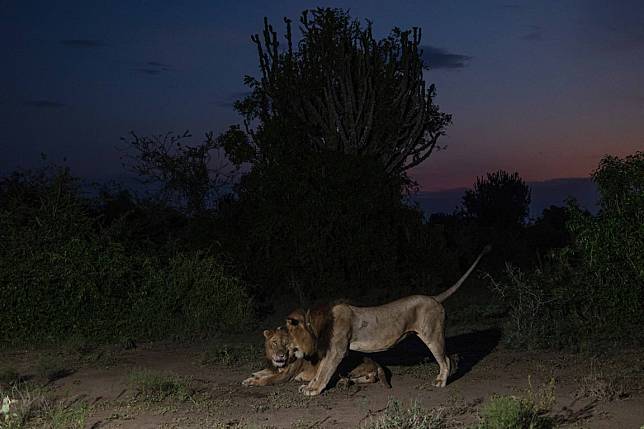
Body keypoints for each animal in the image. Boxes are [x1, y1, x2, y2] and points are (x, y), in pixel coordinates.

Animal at [244, 324, 390, 388]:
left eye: (286, 344)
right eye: (274, 342)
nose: (280, 356)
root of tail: (375, 361)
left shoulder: (285, 375)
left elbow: (267, 379)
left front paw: (252, 381)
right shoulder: (277, 369)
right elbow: (264, 372)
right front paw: (252, 376)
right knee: (365, 379)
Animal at [284, 244, 490, 394]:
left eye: (287, 339)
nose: (282, 356)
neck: (316, 323)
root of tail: (434, 298)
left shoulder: (337, 350)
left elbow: (325, 370)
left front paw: (314, 390)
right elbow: (320, 371)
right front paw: (310, 385)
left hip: (433, 335)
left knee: (445, 359)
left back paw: (441, 381)